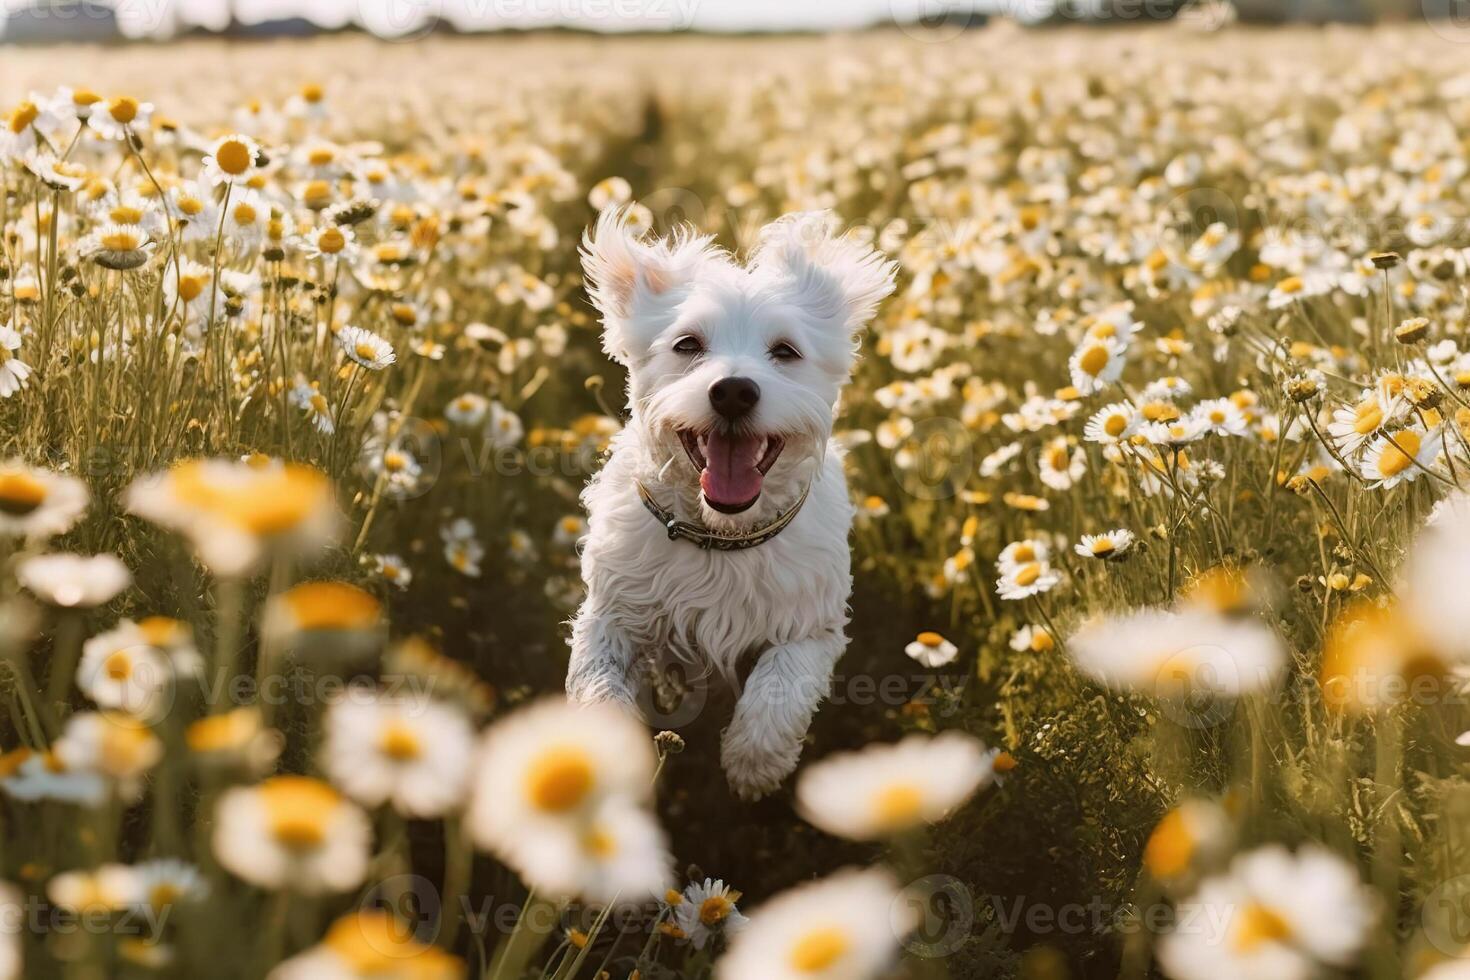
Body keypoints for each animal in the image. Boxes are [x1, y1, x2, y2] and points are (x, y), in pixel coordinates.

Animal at [567, 207, 893, 799]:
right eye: (687, 344)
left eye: (785, 351)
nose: (734, 391)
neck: (720, 536)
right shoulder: (611, 614)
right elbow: (597, 687)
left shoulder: (812, 626)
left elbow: (780, 684)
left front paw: (753, 764)